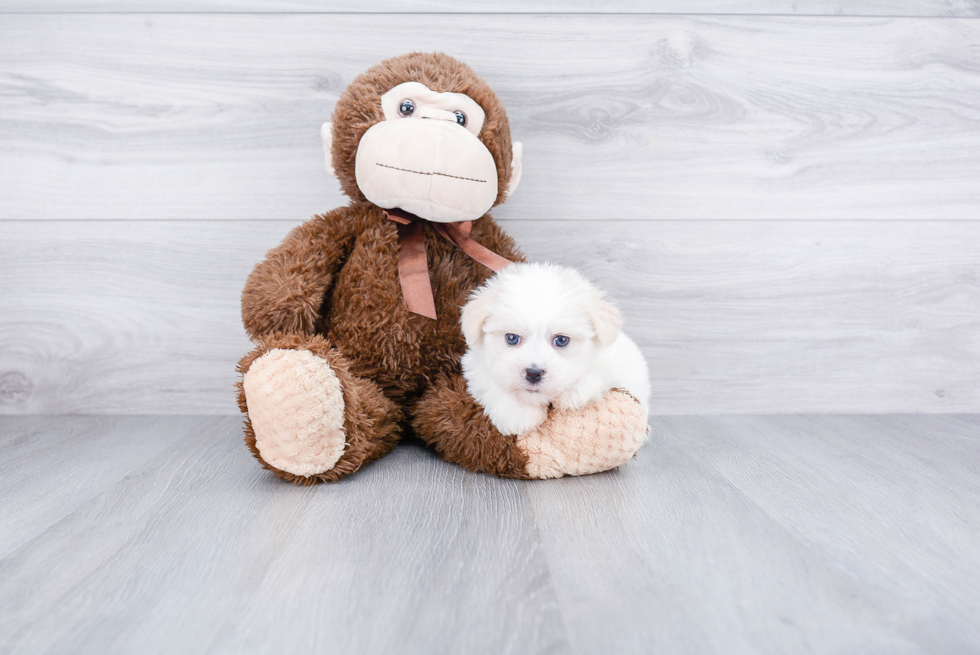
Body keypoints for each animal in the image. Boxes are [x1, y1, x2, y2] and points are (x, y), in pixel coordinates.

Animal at [462, 262, 652, 436]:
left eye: (561, 340)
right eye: (512, 338)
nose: (533, 373)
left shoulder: (618, 358)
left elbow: (600, 367)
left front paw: (574, 392)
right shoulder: (475, 365)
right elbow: (489, 382)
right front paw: (518, 413)